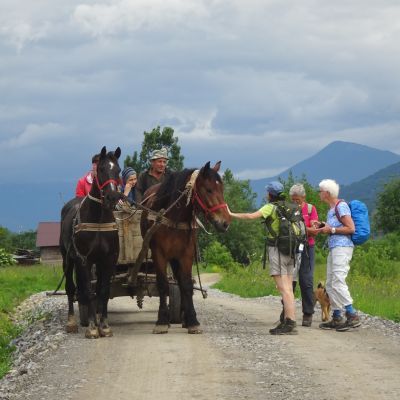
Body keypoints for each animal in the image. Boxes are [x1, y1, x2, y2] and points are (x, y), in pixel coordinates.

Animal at [59, 146, 122, 338]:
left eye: (118, 170)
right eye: (101, 169)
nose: (112, 197)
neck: (99, 219)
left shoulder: (108, 260)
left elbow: (103, 291)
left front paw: (104, 325)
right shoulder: (84, 260)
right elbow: (88, 291)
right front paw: (93, 328)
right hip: (68, 259)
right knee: (71, 288)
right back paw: (72, 322)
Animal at [140, 161, 231, 334]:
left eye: (222, 189)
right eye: (209, 189)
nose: (225, 223)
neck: (174, 218)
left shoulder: (186, 254)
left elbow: (187, 285)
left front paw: (192, 320)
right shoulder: (158, 253)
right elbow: (163, 285)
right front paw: (162, 321)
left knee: (180, 282)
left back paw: (183, 316)